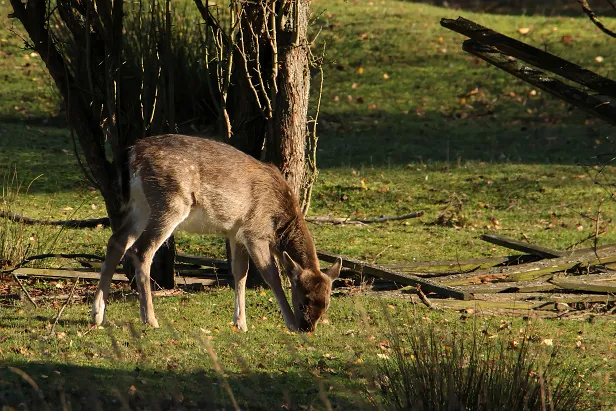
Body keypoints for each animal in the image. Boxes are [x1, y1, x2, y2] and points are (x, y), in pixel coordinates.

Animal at [91, 135, 342, 334]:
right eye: (302, 301)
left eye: (327, 303)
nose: (307, 328)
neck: (279, 221)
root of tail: (133, 153)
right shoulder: (255, 232)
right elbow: (272, 276)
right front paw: (288, 322)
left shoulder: (236, 233)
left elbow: (240, 273)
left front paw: (241, 323)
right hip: (170, 202)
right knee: (142, 250)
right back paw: (150, 319)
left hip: (140, 206)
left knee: (116, 241)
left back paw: (97, 315)